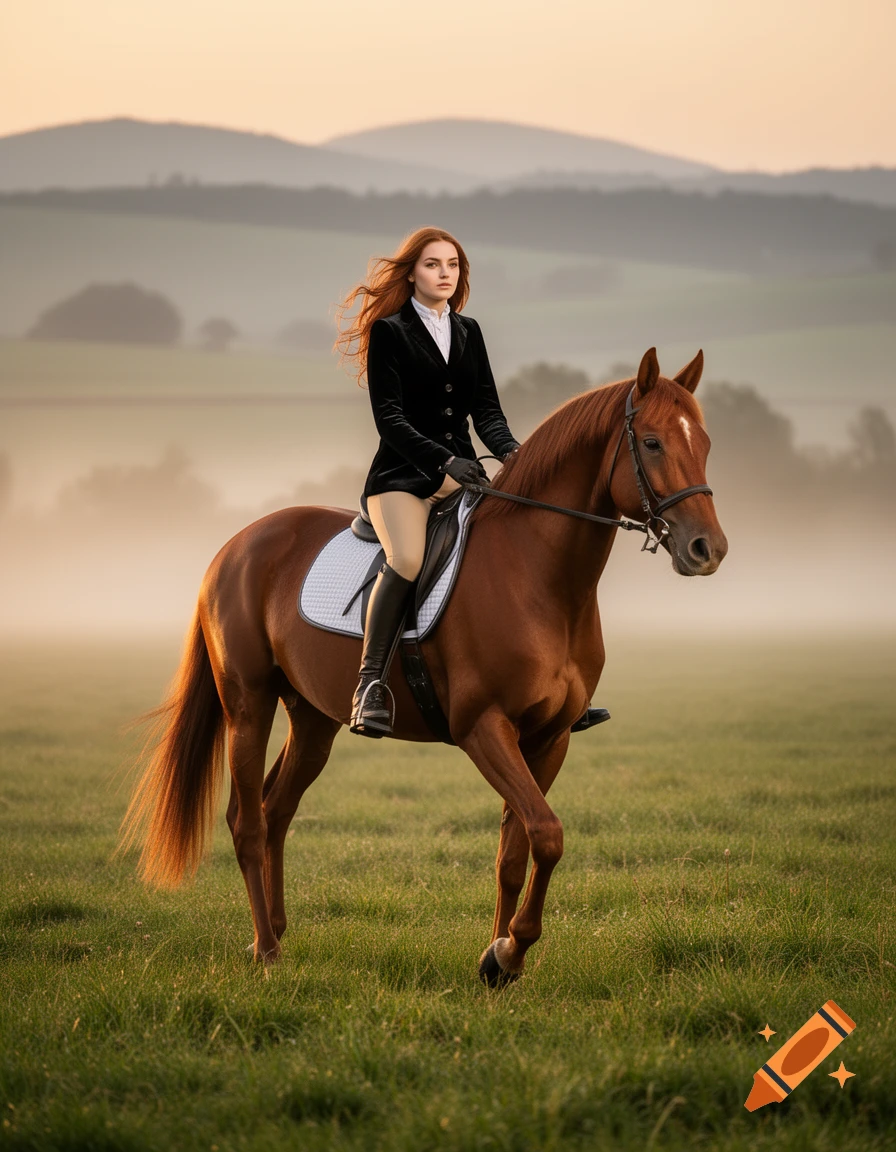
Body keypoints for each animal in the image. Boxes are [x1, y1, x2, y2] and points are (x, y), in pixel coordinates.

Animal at [121, 347, 727, 985]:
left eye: (705, 442)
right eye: (653, 443)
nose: (707, 550)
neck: (539, 578)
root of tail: (235, 547)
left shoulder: (550, 737)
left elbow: (516, 851)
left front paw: (498, 960)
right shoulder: (484, 728)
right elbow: (547, 834)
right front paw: (510, 949)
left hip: (313, 718)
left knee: (275, 809)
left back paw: (279, 932)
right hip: (249, 704)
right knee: (248, 822)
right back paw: (266, 949)